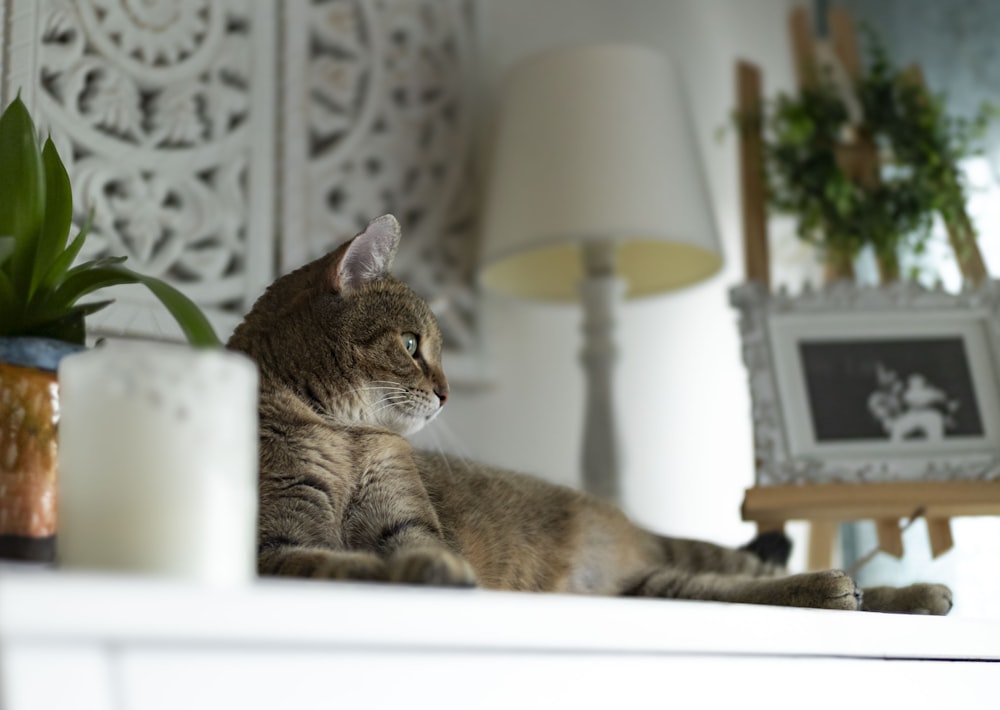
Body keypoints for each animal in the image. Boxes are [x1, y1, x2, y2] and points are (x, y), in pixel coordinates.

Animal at [227, 214, 952, 616]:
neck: (346, 439)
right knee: (724, 586)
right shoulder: (275, 548)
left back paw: (905, 592)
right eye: (411, 346)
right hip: (658, 588)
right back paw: (847, 590)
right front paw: (420, 575)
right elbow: (343, 563)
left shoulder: (407, 523)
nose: (447, 392)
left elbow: (406, 550)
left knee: (754, 573)